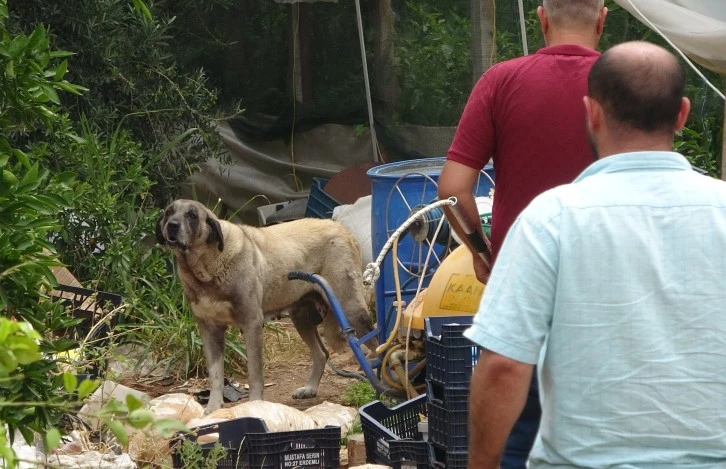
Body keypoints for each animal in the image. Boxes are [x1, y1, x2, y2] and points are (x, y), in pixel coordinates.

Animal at [157, 199, 378, 412]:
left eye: (192, 215)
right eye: (169, 212)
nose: (172, 226)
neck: (207, 269)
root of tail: (341, 228)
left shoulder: (252, 325)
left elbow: (255, 373)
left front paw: (255, 405)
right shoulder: (210, 331)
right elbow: (216, 375)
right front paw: (212, 408)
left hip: (350, 310)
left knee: (376, 345)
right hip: (301, 317)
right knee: (321, 353)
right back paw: (310, 388)